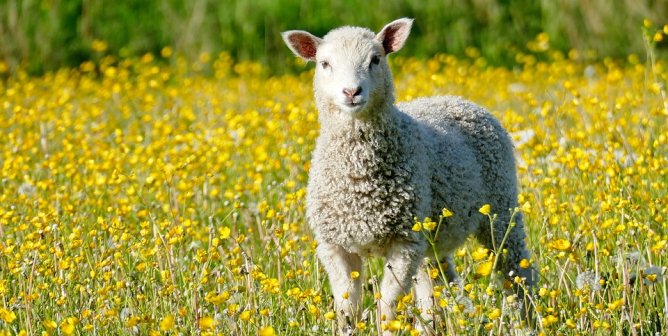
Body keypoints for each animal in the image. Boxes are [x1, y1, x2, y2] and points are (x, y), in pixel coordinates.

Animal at [284, 18, 536, 334]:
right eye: (324, 63)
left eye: (375, 59)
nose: (351, 92)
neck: (358, 178)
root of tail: (457, 99)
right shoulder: (335, 245)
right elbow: (346, 309)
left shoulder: (404, 243)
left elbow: (388, 307)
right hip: (434, 235)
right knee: (438, 283)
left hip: (501, 207)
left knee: (518, 269)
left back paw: (528, 321)